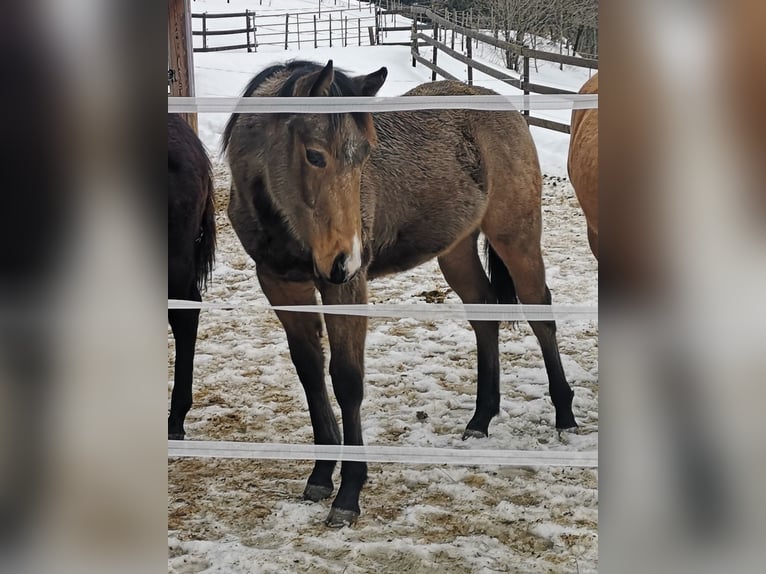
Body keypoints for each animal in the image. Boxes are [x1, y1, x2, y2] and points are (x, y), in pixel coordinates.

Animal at [223, 60, 577, 527]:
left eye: (364, 156)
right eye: (314, 155)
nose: (346, 258)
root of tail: (502, 105)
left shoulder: (345, 288)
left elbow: (347, 380)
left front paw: (349, 492)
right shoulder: (281, 284)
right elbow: (310, 374)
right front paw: (320, 475)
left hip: (515, 236)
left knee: (540, 314)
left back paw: (565, 414)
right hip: (456, 250)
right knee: (484, 314)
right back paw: (481, 417)